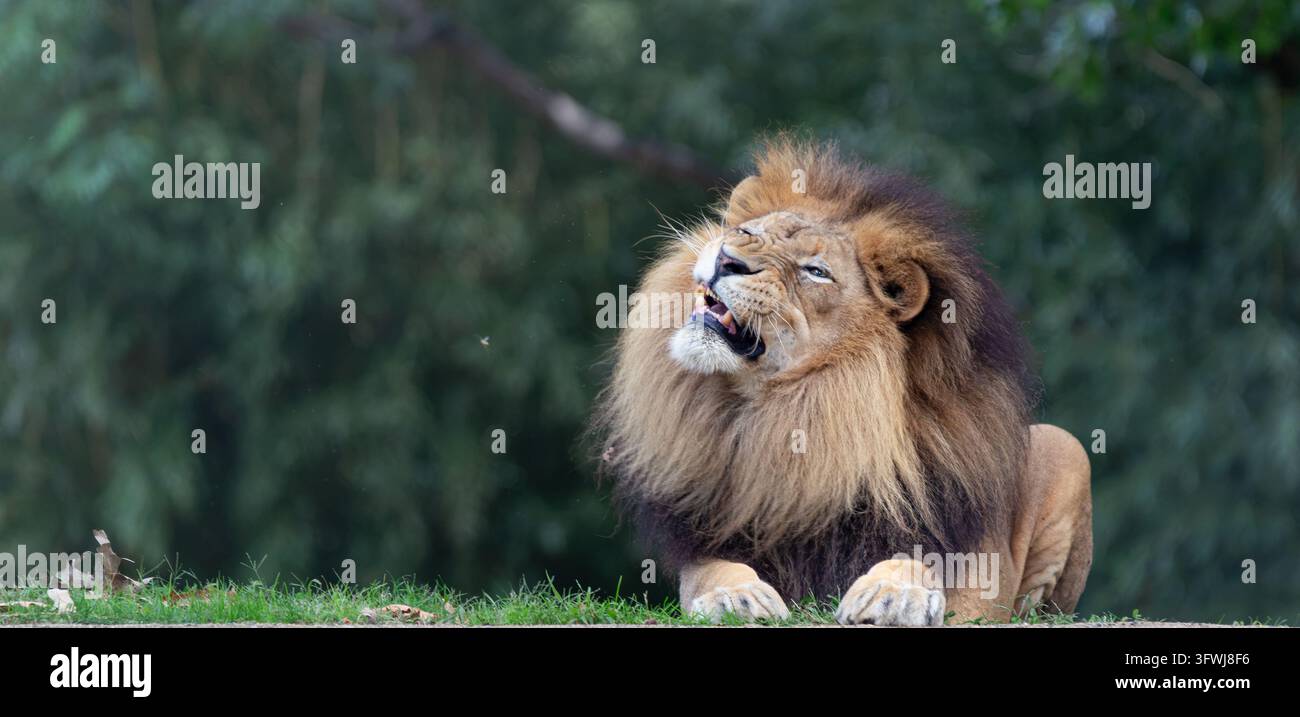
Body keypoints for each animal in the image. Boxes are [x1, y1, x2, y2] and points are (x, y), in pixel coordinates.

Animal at [594, 139, 1092, 625]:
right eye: (748, 233)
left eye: (816, 271)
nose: (727, 260)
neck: (788, 408)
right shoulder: (709, 537)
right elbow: (712, 570)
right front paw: (736, 597)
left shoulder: (959, 559)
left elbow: (917, 561)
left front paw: (893, 595)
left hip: (1066, 447)